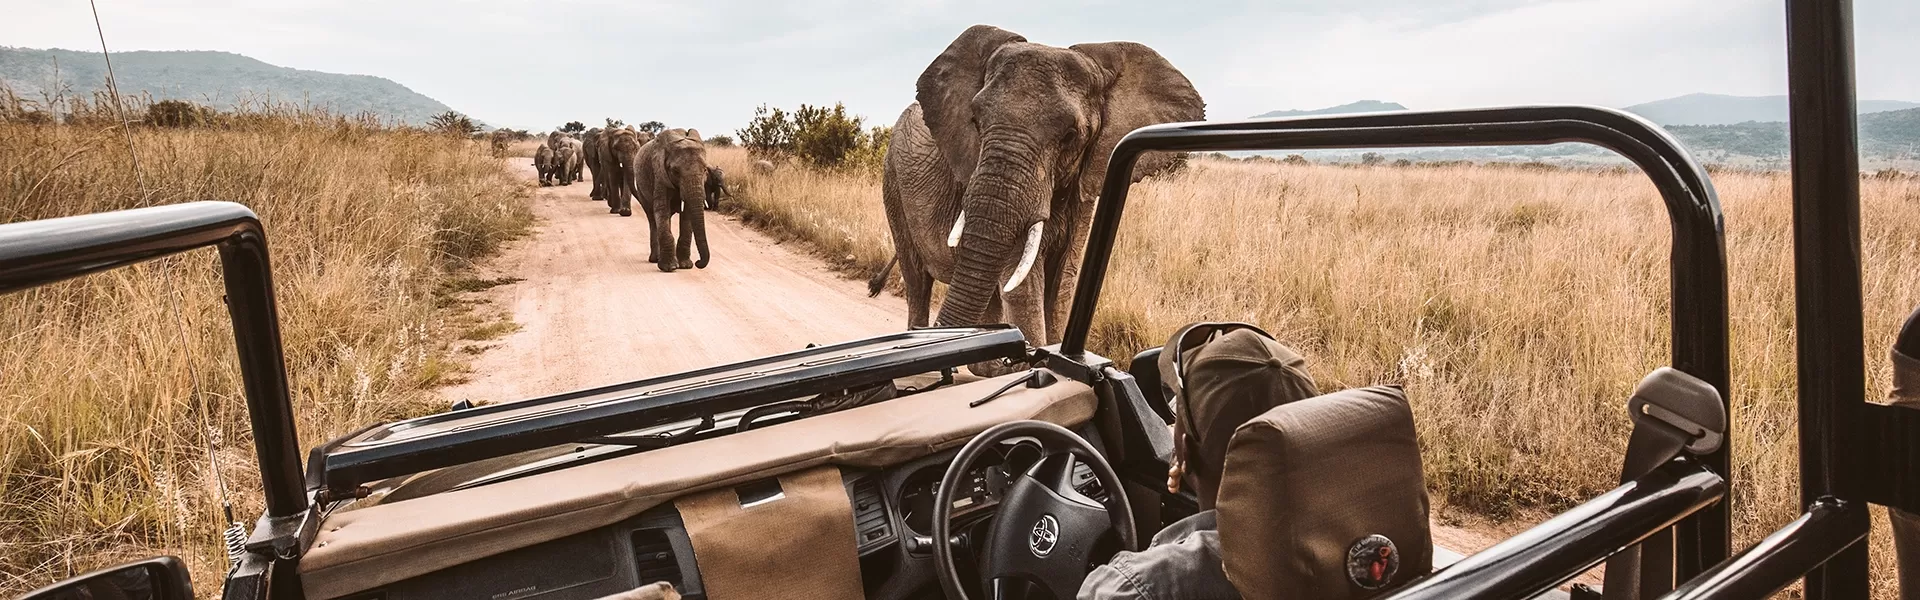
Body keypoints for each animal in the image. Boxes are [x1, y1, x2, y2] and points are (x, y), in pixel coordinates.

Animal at [879, 25, 1198, 346]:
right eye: (975, 121)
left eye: (1071, 135)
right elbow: (1023, 291)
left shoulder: (1083, 189)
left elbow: (1061, 287)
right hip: (892, 183)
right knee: (918, 282)